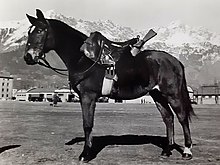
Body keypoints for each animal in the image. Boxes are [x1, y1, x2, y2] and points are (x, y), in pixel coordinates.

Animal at [24, 8, 195, 161]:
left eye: (40, 30)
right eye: (29, 32)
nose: (28, 57)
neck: (82, 58)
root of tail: (175, 61)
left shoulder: (88, 97)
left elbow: (87, 124)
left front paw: (85, 154)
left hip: (172, 95)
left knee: (181, 117)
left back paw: (187, 151)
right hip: (157, 95)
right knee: (168, 118)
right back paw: (167, 150)